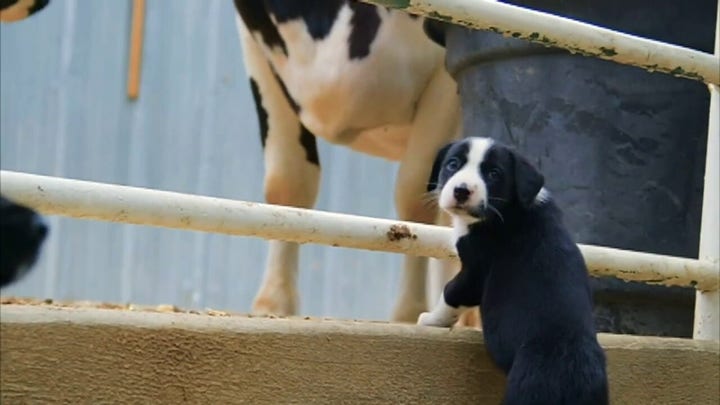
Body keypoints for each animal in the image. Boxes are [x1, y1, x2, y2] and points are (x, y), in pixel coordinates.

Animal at [420, 138, 612, 404]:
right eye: (453, 164)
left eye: (494, 173)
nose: (461, 191)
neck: (513, 206)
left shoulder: (474, 272)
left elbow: (451, 293)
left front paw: (430, 320)